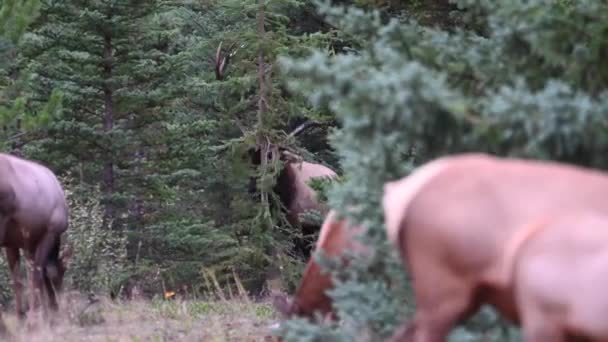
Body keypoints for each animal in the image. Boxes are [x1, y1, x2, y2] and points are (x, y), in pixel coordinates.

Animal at [0, 153, 70, 324]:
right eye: (63, 271)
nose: (58, 306)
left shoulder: (15, 243)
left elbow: (18, 280)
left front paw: (21, 317)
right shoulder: (50, 233)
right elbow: (38, 275)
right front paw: (34, 319)